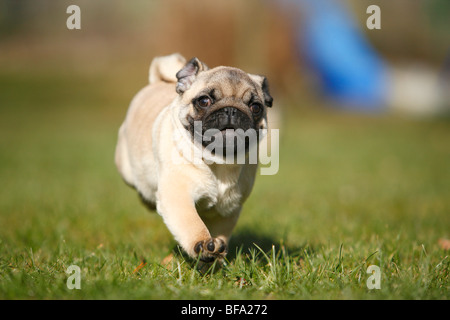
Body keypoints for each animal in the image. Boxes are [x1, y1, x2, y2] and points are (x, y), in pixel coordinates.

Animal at [114, 53, 272, 262]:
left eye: (255, 107)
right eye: (204, 101)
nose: (231, 110)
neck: (219, 161)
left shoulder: (227, 210)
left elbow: (220, 233)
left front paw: (216, 255)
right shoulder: (178, 197)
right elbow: (192, 224)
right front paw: (203, 244)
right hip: (128, 170)